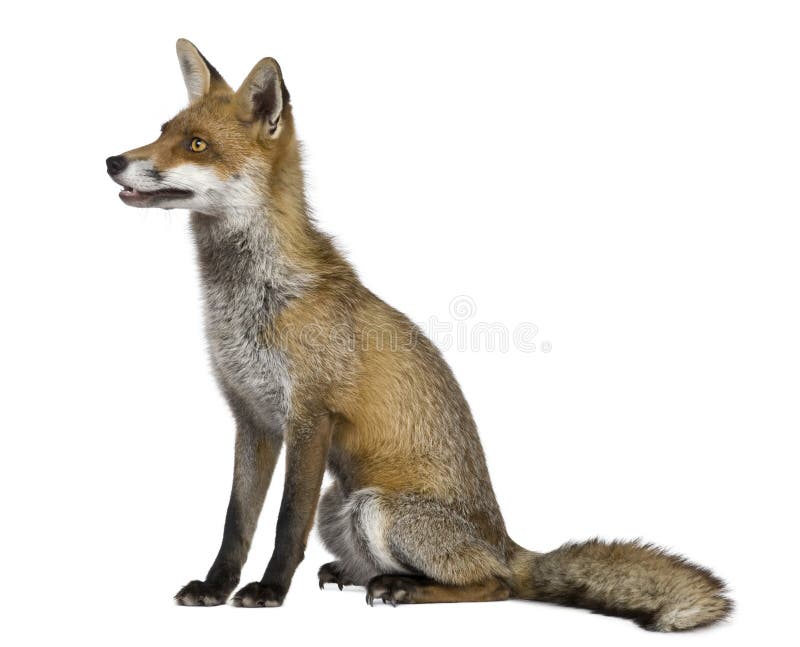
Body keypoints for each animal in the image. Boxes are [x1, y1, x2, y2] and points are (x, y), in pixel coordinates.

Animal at [104, 40, 732, 632]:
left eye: (197, 146)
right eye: (162, 132)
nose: (112, 160)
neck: (250, 302)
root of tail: (507, 541)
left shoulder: (309, 416)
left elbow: (285, 524)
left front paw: (269, 591)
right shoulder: (252, 418)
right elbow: (237, 522)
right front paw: (216, 587)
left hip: (373, 508)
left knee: (494, 585)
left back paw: (404, 587)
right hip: (341, 504)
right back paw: (359, 574)